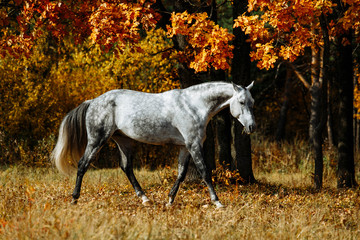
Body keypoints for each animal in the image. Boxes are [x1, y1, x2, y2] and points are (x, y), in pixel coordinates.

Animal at [51, 81, 256, 208]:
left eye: (252, 102)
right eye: (241, 102)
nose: (252, 126)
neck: (193, 105)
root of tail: (93, 101)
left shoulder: (185, 147)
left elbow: (181, 174)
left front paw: (169, 200)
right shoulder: (194, 144)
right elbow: (205, 172)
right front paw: (217, 202)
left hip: (124, 141)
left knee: (126, 167)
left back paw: (145, 199)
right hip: (97, 140)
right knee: (83, 165)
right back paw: (74, 199)